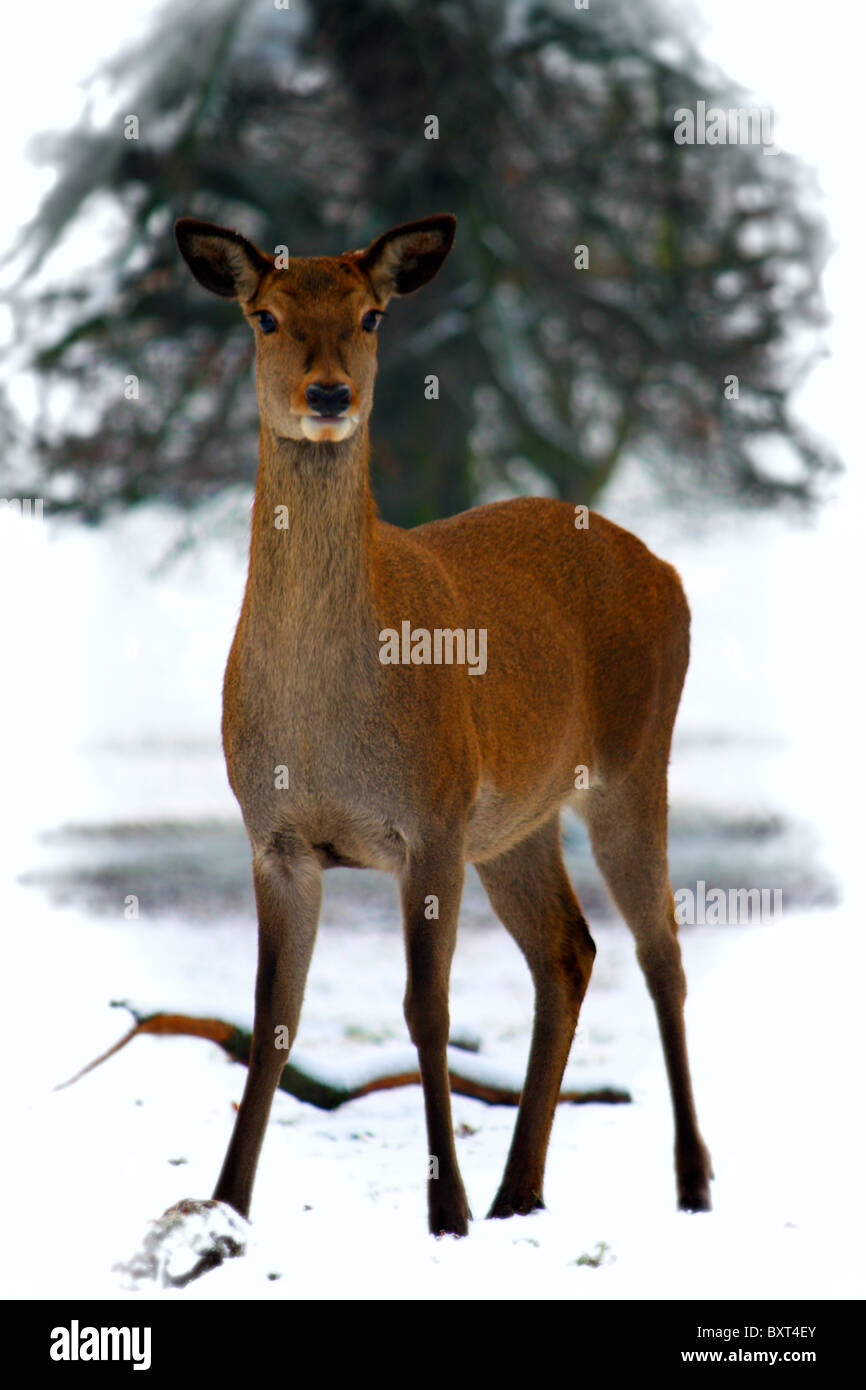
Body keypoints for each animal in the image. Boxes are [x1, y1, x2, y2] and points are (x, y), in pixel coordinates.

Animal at [173, 214, 717, 1239]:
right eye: (264, 316)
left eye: (371, 314)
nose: (329, 393)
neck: (323, 729)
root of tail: (665, 569)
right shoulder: (277, 838)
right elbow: (271, 1018)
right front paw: (225, 1208)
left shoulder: (429, 820)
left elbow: (427, 1007)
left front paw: (445, 1210)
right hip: (513, 823)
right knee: (569, 952)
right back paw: (522, 1188)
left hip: (633, 763)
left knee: (661, 950)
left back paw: (691, 1182)